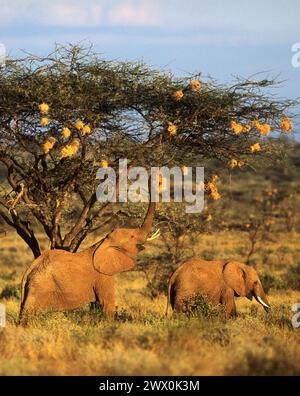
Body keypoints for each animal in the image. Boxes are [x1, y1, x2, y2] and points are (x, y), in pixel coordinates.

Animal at [19, 201, 158, 322]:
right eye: (132, 237)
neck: (103, 243)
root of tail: (29, 269)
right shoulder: (103, 276)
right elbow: (107, 303)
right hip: (39, 286)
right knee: (28, 312)